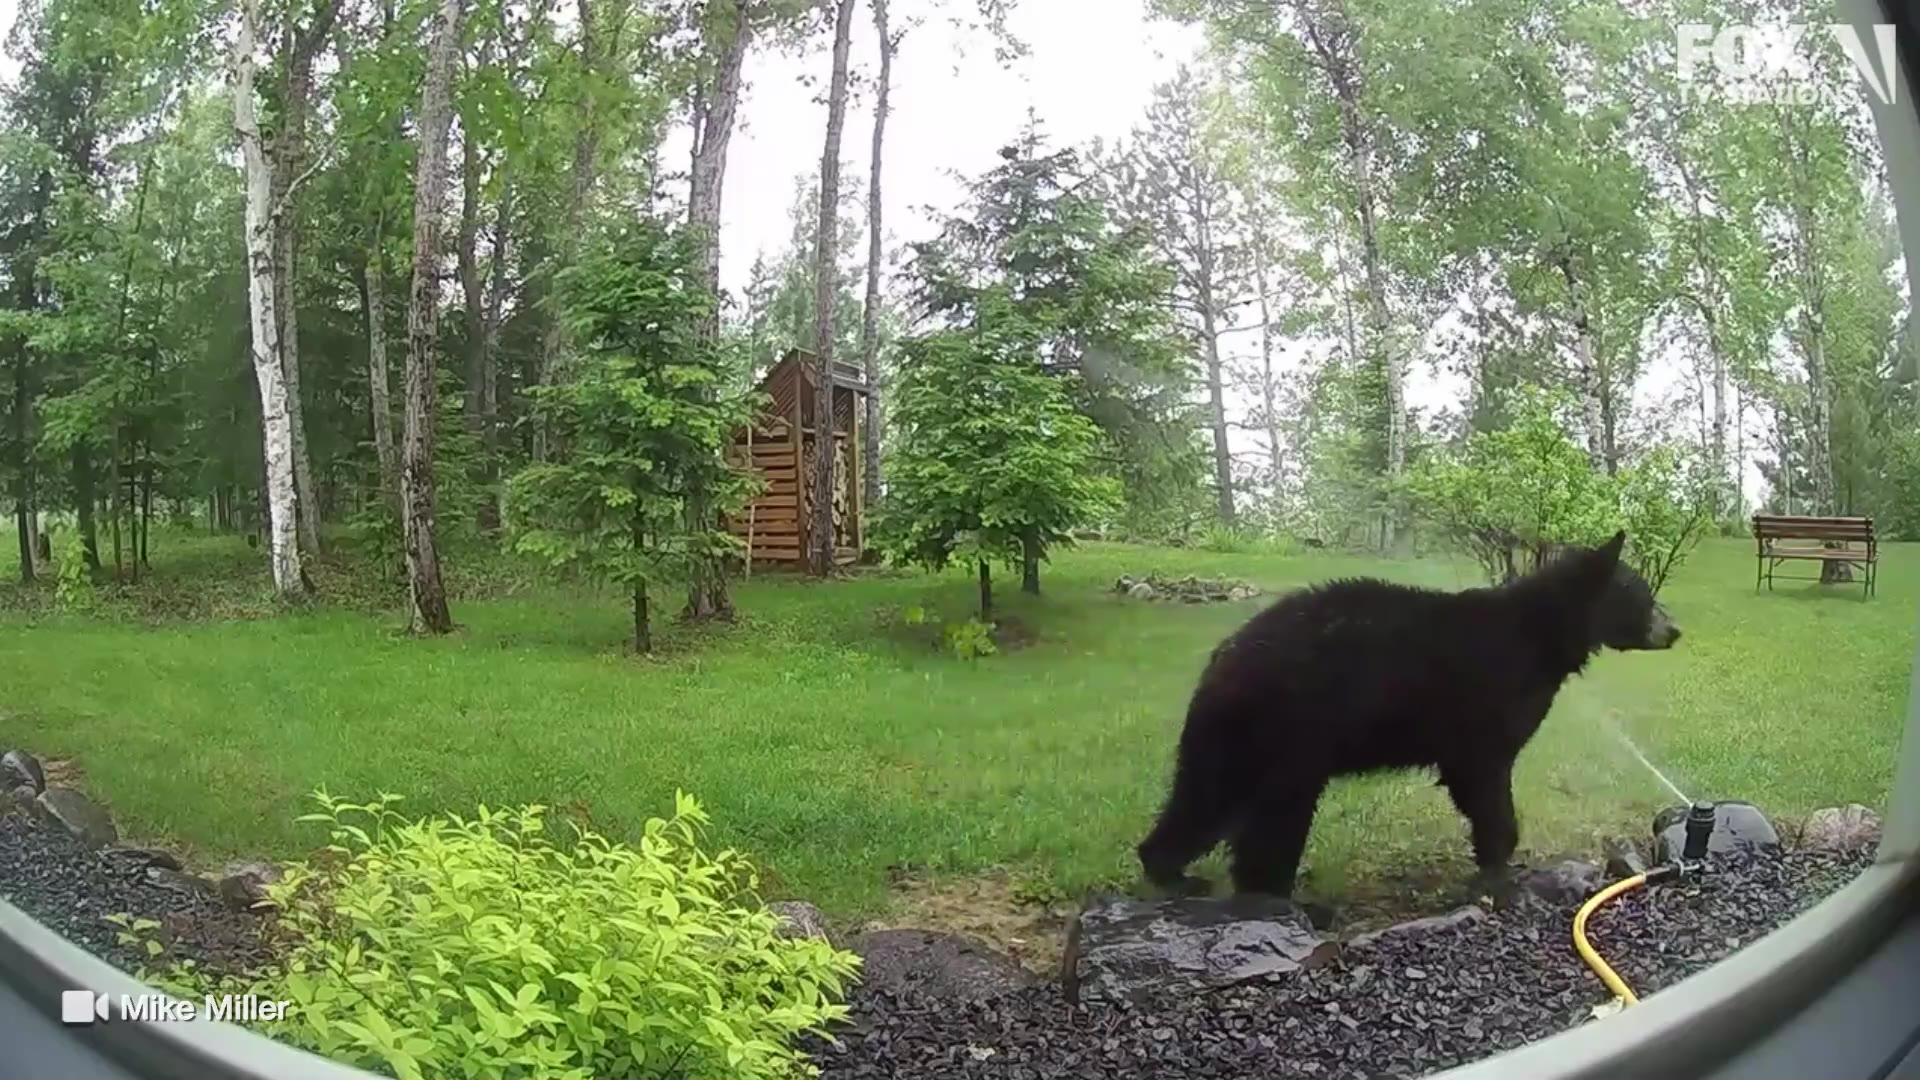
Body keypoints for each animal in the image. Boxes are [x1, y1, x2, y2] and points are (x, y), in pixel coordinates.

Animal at [1135, 530, 1680, 899]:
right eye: (1644, 596)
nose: (1674, 630)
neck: (1542, 636)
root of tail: (1225, 655)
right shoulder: (1488, 697)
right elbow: (1486, 775)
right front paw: (1501, 863)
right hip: (1291, 728)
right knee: (1271, 814)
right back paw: (1271, 892)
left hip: (1235, 737)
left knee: (1201, 796)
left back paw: (1170, 870)